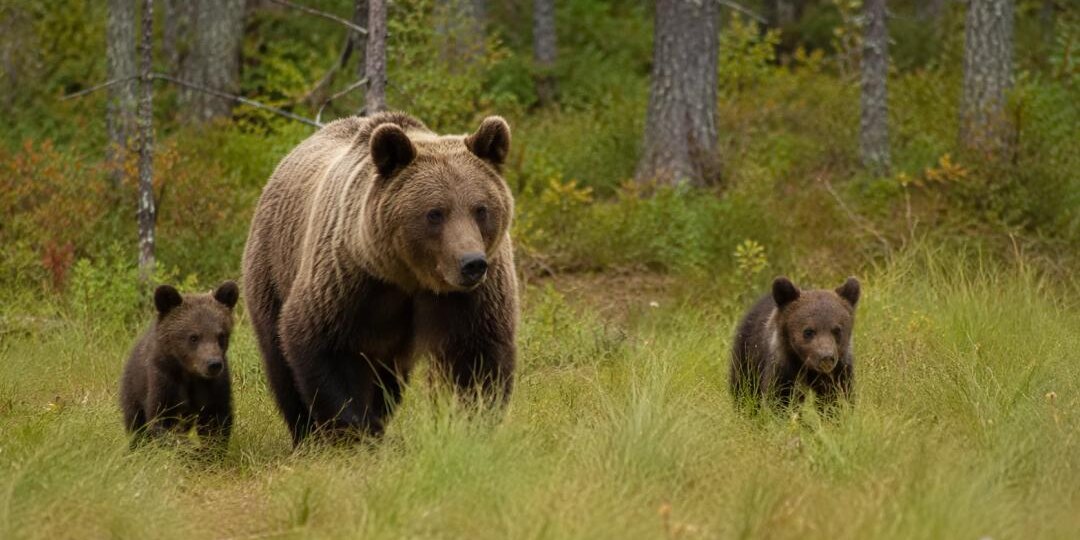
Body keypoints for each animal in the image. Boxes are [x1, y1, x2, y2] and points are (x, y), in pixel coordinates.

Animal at [120, 281, 239, 446]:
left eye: (221, 335)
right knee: (136, 425)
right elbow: (161, 419)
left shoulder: (214, 387)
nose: (213, 364)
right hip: (133, 389)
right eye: (194, 337)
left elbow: (216, 421)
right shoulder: (164, 380)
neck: (190, 374)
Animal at [242, 111, 518, 445]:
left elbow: (476, 356)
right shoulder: (350, 282)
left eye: (480, 209)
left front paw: (470, 425)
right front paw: (355, 432)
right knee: (279, 361)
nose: (472, 264)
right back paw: (305, 435)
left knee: (387, 380)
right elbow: (325, 346)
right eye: (435, 213)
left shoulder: (471, 297)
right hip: (272, 267)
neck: (411, 278)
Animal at [730, 276, 861, 410]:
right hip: (748, 355)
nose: (826, 357)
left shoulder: (840, 371)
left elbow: (837, 398)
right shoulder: (783, 370)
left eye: (837, 330)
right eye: (808, 331)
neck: (807, 366)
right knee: (744, 388)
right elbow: (778, 399)